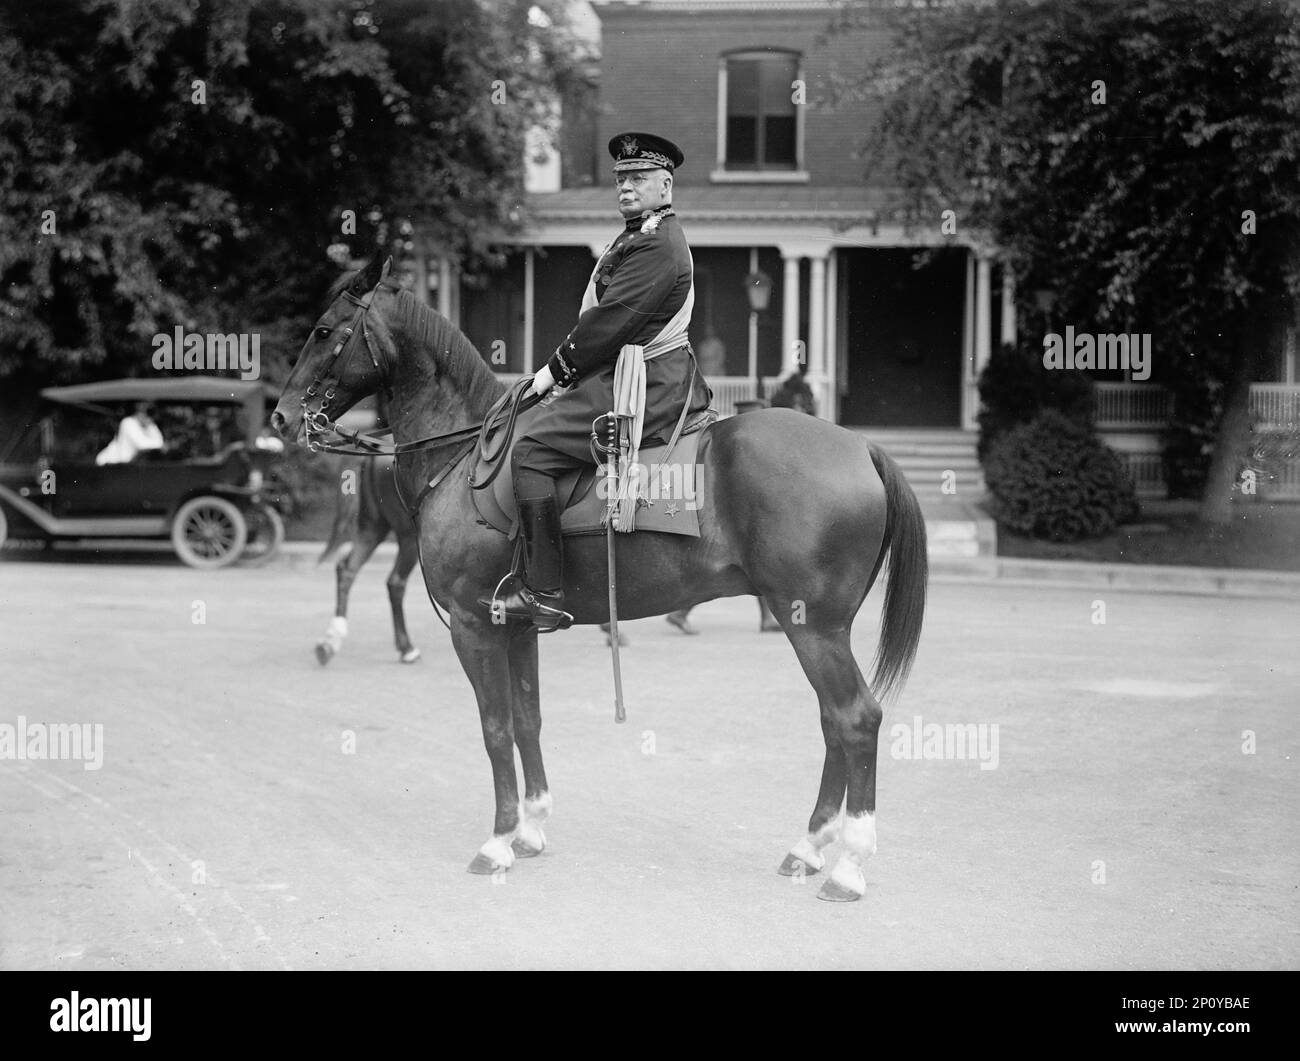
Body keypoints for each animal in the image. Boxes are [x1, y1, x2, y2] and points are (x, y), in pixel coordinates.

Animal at [271, 252, 925, 899]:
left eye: (324, 331)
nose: (280, 416)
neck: (463, 457)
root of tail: (861, 448)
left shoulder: (472, 625)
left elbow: (494, 727)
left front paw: (497, 840)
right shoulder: (516, 626)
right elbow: (527, 719)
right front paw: (530, 827)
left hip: (811, 627)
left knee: (855, 719)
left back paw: (847, 864)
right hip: (822, 629)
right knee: (833, 721)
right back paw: (809, 847)